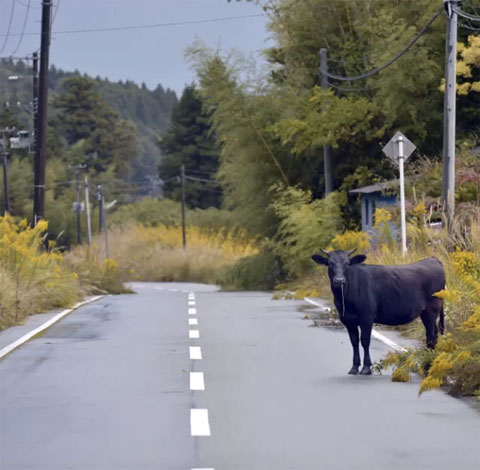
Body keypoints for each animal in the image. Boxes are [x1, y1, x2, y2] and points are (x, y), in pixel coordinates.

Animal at [314, 252, 444, 376]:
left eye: (347, 263)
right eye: (329, 264)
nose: (339, 280)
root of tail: (433, 260)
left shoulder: (367, 317)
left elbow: (365, 340)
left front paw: (366, 368)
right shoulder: (347, 320)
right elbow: (354, 342)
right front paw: (354, 367)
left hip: (431, 309)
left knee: (431, 336)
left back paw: (428, 365)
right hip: (426, 313)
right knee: (435, 333)